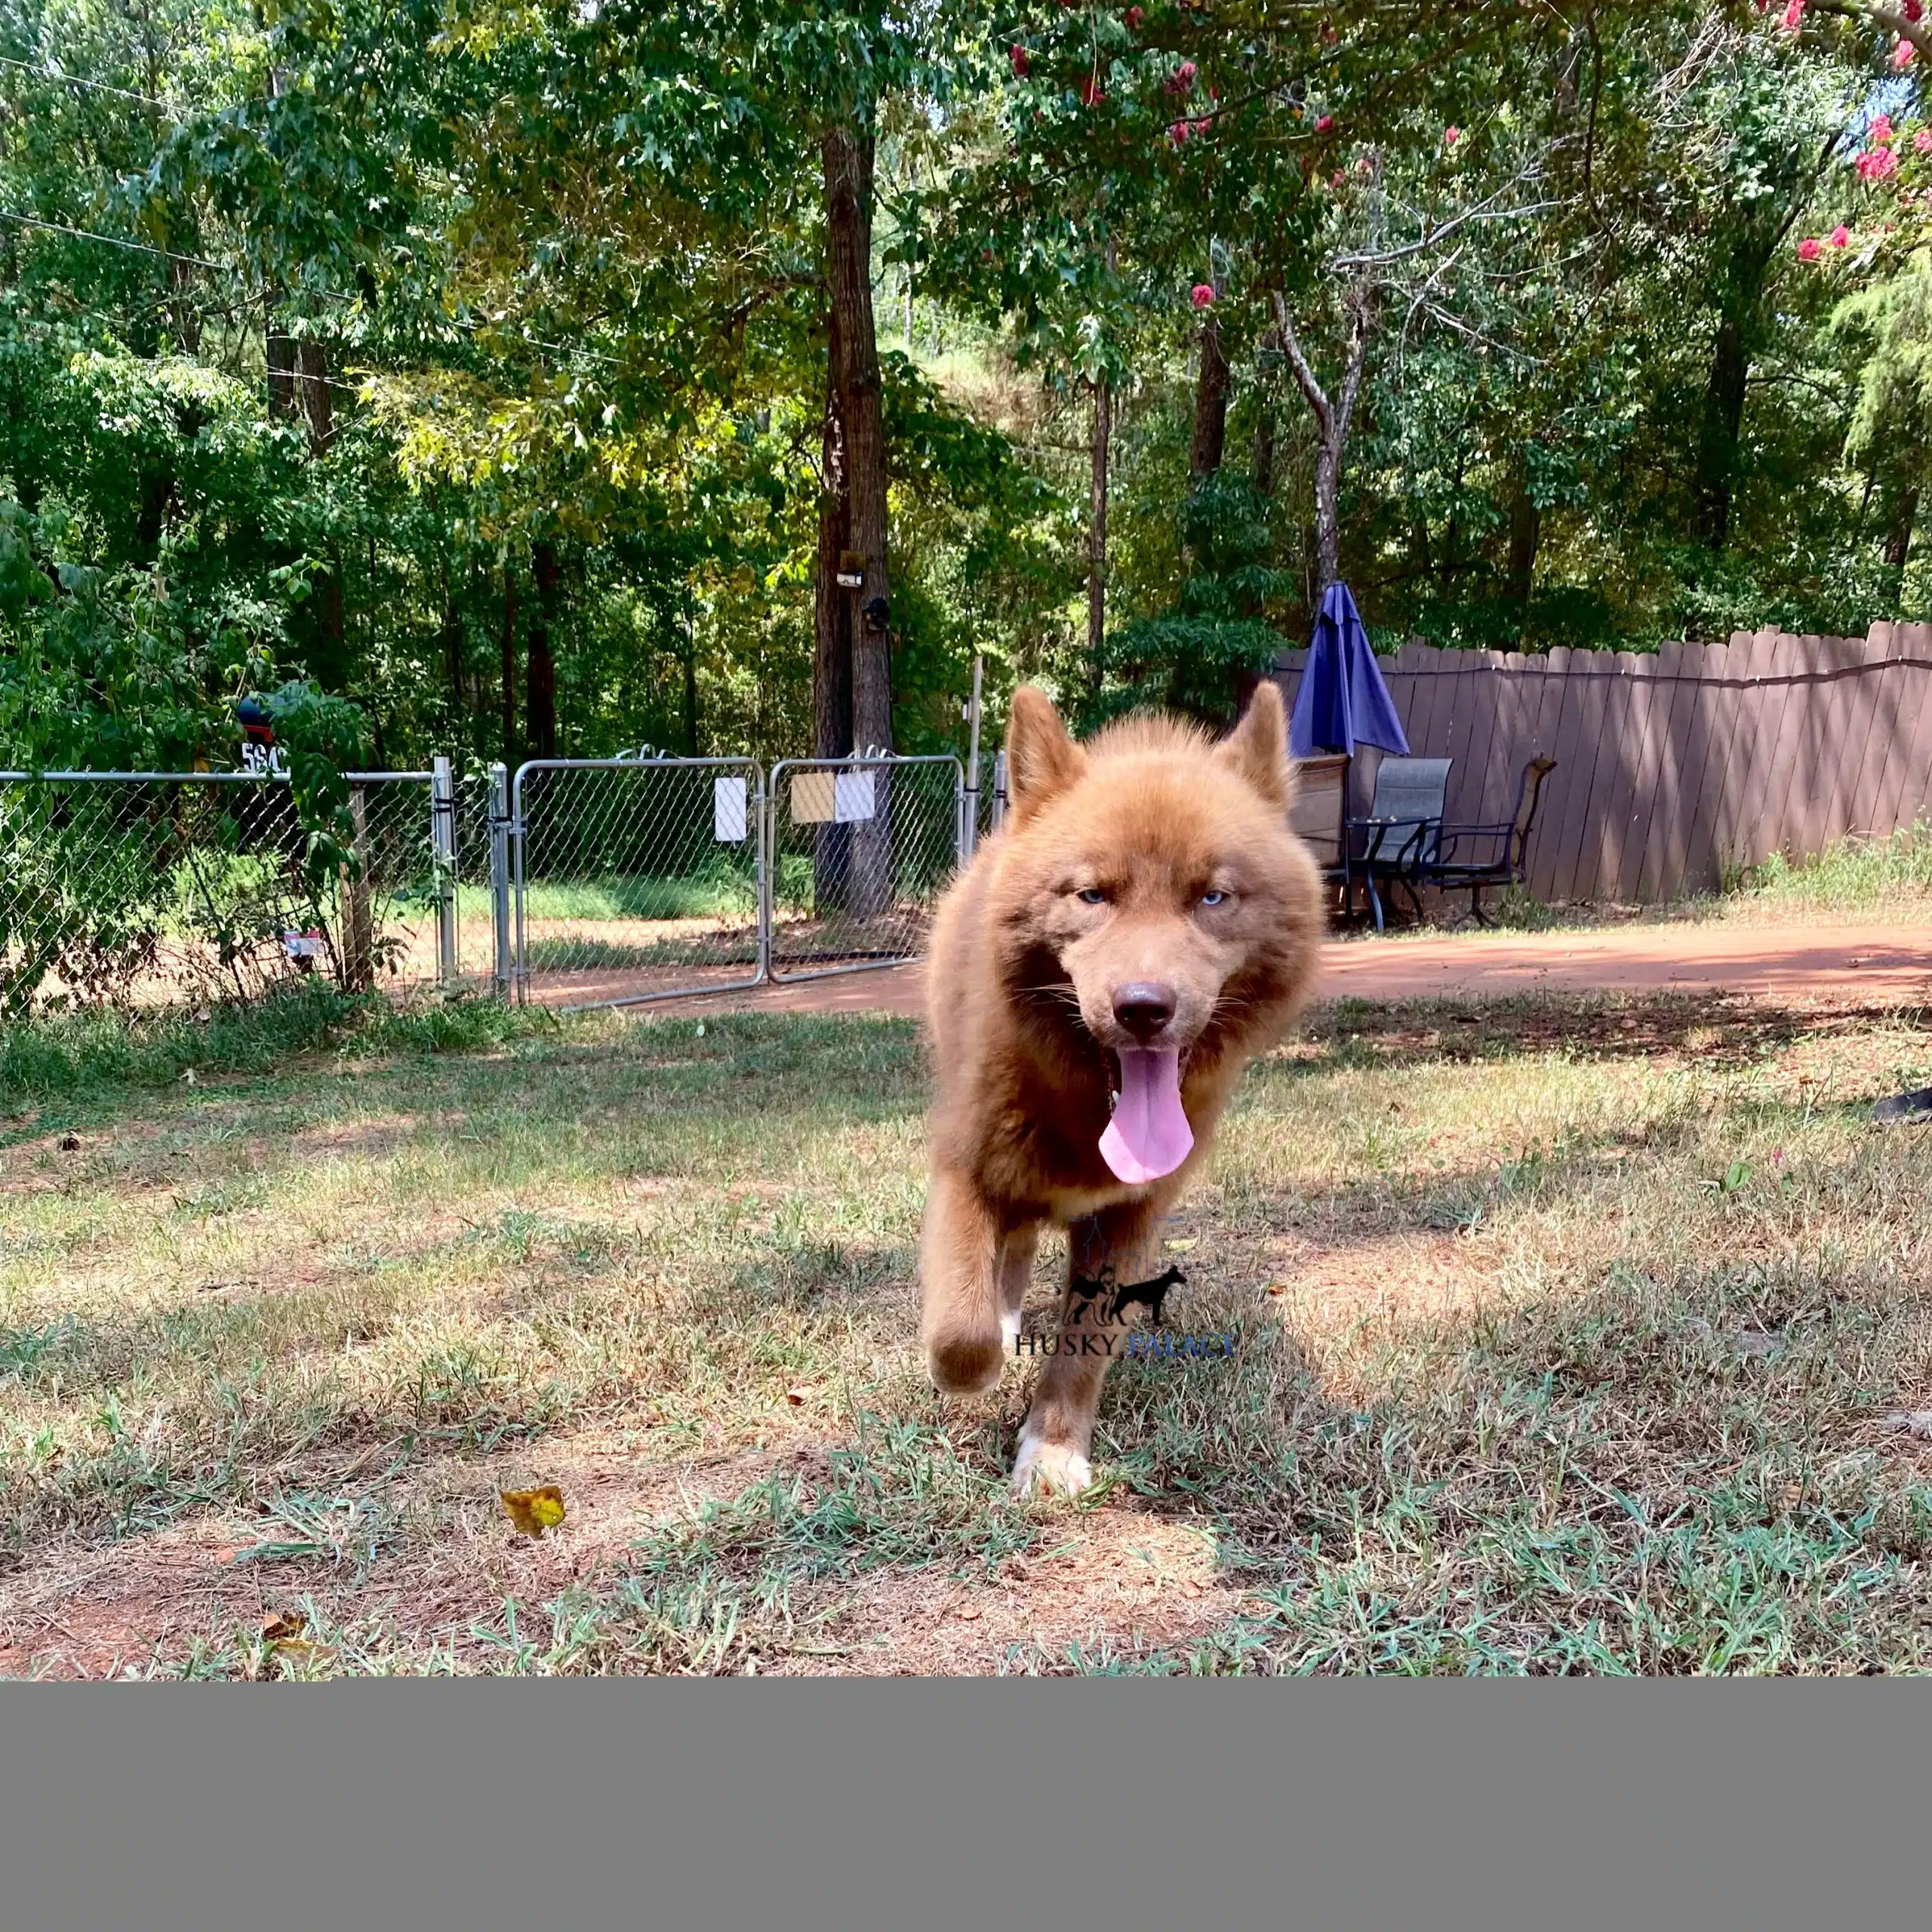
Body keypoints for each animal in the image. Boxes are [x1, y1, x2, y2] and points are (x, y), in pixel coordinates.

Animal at [919, 680, 1329, 1491]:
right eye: (1091, 895)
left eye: (1214, 897)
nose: (1143, 1007)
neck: (1083, 1111)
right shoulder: (966, 1169)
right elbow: (962, 1331)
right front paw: (981, 1368)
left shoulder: (1131, 1219)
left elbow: (1084, 1347)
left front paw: (1053, 1447)